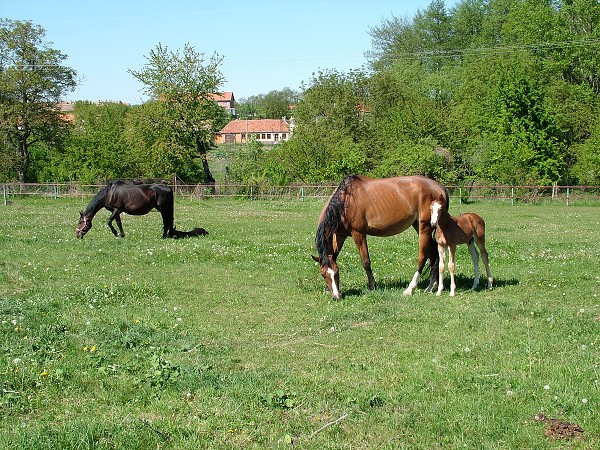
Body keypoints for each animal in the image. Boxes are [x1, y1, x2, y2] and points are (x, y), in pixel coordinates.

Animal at [314, 175, 450, 298]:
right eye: (323, 274)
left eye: (336, 273)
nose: (336, 296)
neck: (345, 201)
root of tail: (438, 186)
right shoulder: (340, 235)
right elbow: (334, 255)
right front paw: (328, 288)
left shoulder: (358, 234)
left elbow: (366, 261)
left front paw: (373, 285)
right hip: (419, 226)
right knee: (434, 254)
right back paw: (431, 286)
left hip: (424, 228)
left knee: (423, 257)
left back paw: (410, 289)